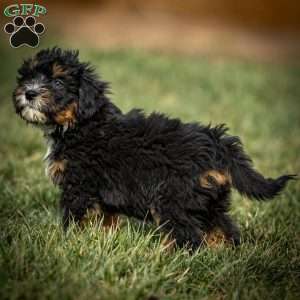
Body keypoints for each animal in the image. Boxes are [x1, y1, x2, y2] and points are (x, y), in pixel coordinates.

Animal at [12, 48, 294, 251]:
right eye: (28, 76)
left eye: (59, 82)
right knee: (223, 230)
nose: (29, 93)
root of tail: (218, 142)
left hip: (172, 199)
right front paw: (100, 243)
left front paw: (67, 243)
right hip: (208, 201)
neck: (81, 123)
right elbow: (105, 222)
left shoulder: (78, 186)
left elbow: (73, 219)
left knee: (189, 237)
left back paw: (169, 258)